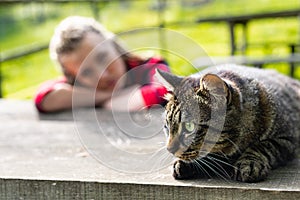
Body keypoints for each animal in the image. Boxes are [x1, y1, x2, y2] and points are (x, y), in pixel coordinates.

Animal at [156, 65, 300, 183]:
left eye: (189, 126)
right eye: (167, 127)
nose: (169, 150)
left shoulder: (288, 139)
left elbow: (263, 146)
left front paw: (249, 163)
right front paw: (181, 163)